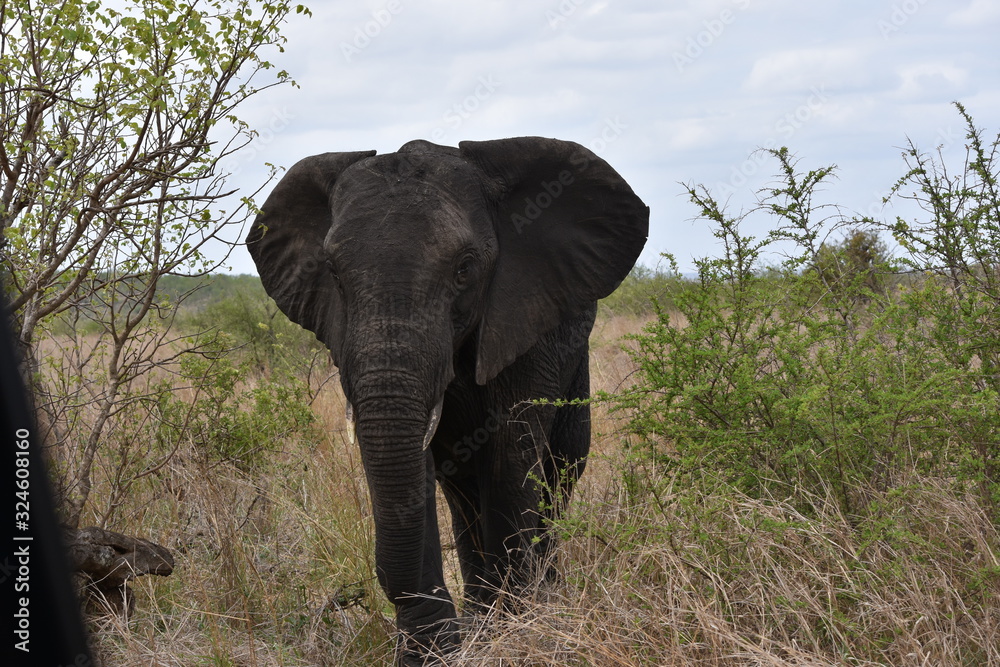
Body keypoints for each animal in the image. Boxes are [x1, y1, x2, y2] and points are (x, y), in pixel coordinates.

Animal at [246, 136, 648, 664]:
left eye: (464, 268)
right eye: (330, 271)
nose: (381, 584)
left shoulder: (524, 320)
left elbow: (511, 455)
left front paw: (516, 633)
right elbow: (414, 461)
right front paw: (440, 652)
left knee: (559, 469)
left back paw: (543, 597)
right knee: (461, 490)